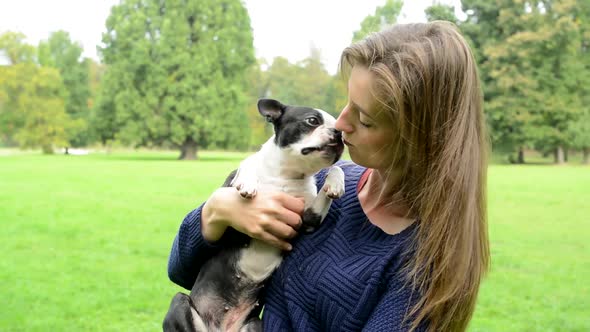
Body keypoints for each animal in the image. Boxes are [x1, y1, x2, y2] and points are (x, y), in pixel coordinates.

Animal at [163, 98, 346, 332]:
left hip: (254, 323)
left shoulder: (308, 219)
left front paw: (336, 183)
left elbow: (336, 169)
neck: (286, 175)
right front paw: (247, 181)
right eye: (312, 121)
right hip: (180, 302)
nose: (339, 133)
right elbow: (247, 163)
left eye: (339, 124)